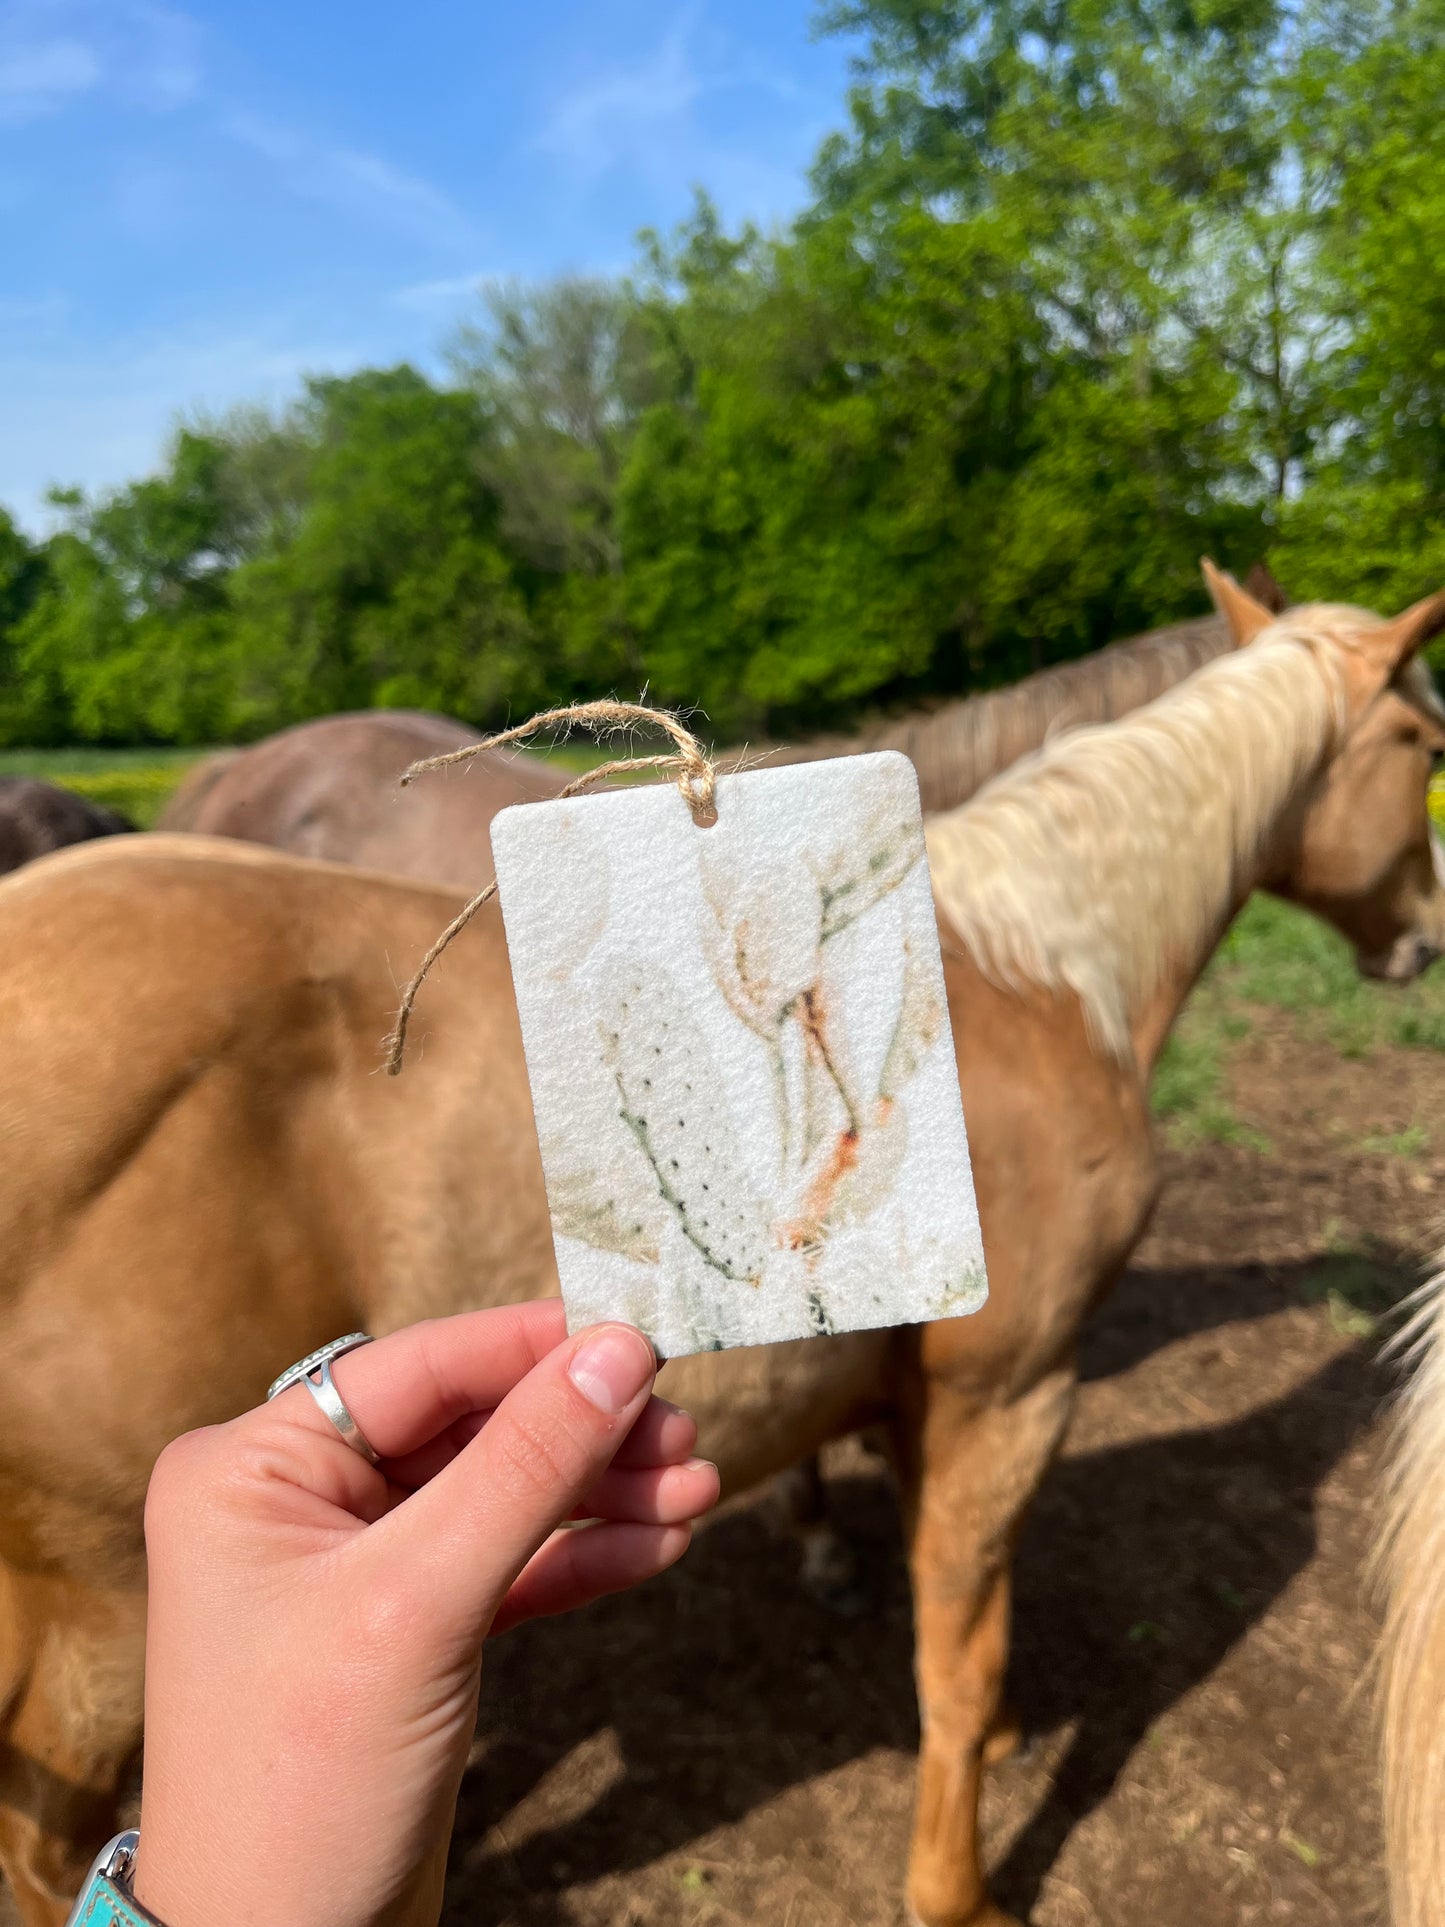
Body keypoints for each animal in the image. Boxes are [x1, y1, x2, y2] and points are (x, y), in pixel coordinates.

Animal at [2, 562, 1445, 1919]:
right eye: (1423, 744)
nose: (1419, 946)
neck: (1036, 969)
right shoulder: (1013, 1391)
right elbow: (960, 1647)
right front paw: (957, 1884)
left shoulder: (914, 1390)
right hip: (111, 1606)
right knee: (44, 1840)